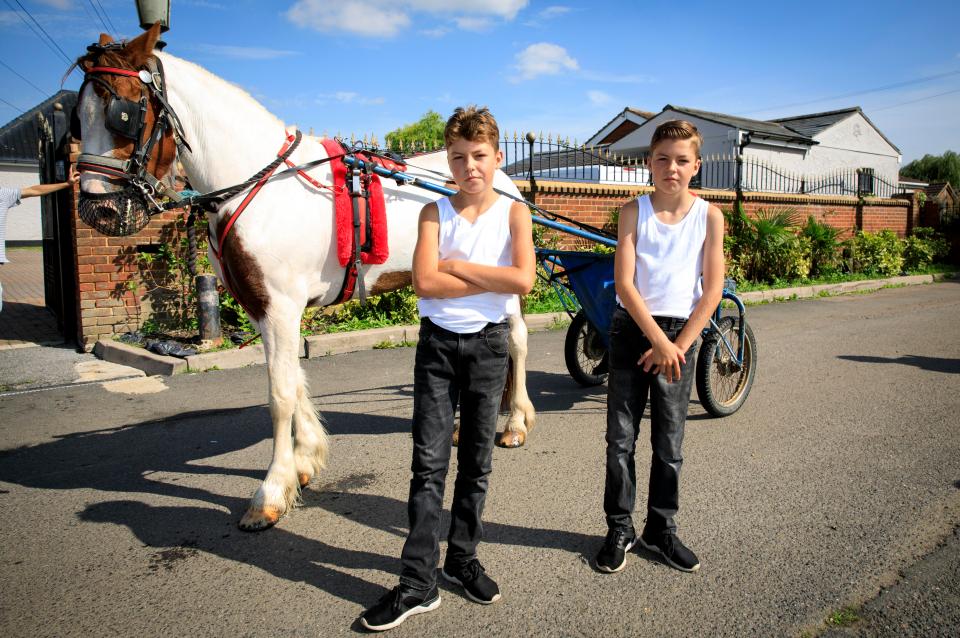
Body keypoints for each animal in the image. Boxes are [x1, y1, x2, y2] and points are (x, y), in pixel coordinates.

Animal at [76, 25, 536, 532]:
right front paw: (305, 460)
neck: (262, 183)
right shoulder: (263, 307)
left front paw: (271, 491)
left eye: (124, 111)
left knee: (516, 340)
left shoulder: (281, 305)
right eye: (76, 117)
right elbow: (293, 381)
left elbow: (279, 393)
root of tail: (505, 180)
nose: (97, 210)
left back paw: (514, 422)